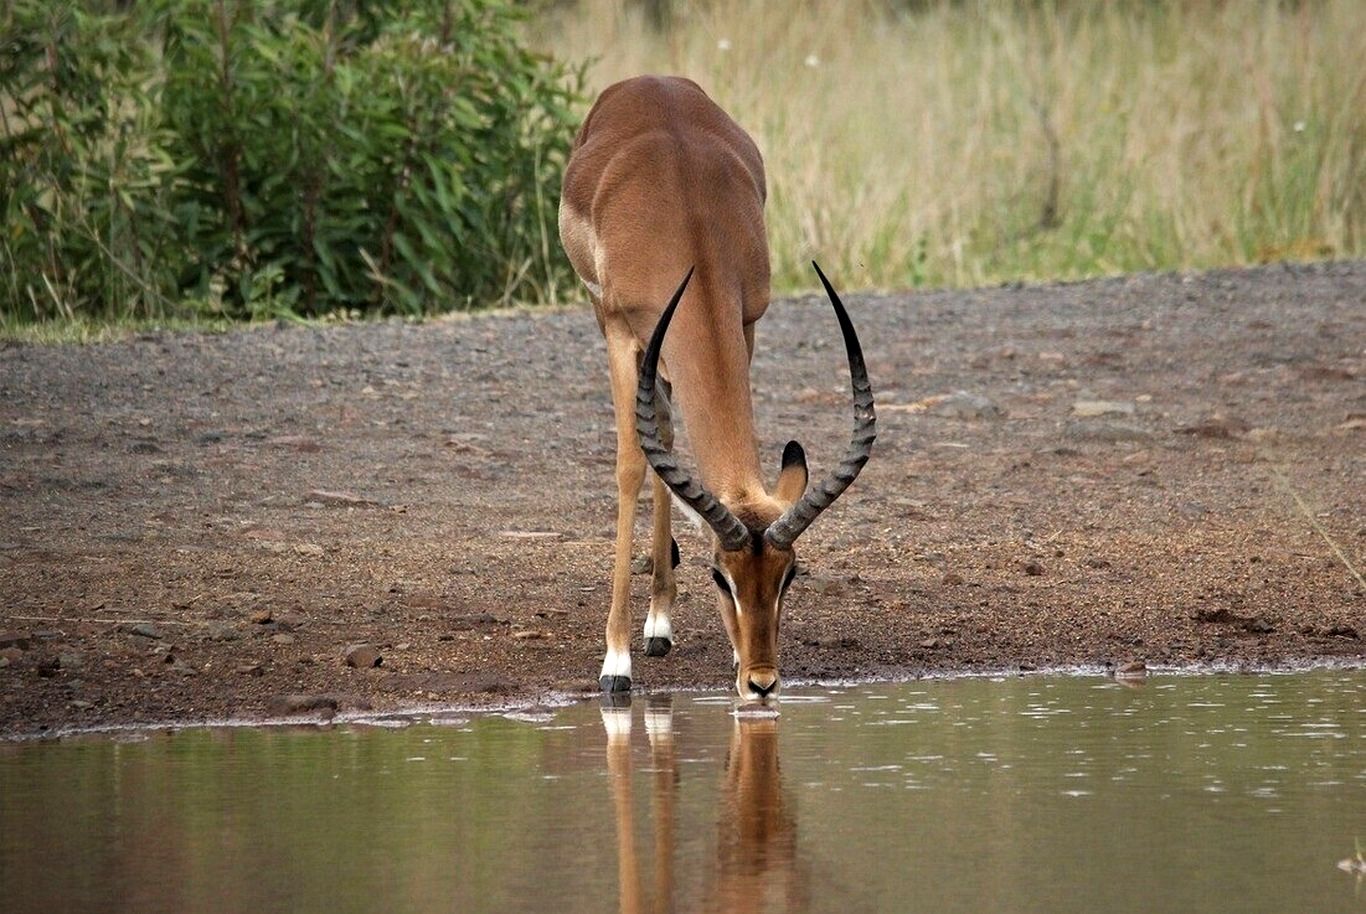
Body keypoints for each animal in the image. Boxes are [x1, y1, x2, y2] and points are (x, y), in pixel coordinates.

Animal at [560, 74, 879, 699]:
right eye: (718, 575)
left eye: (789, 574)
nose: (761, 680)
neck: (688, 222)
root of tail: (646, 80)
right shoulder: (619, 333)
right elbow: (630, 466)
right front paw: (616, 661)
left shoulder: (746, 321)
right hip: (606, 319)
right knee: (650, 442)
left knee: (663, 427)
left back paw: (660, 623)